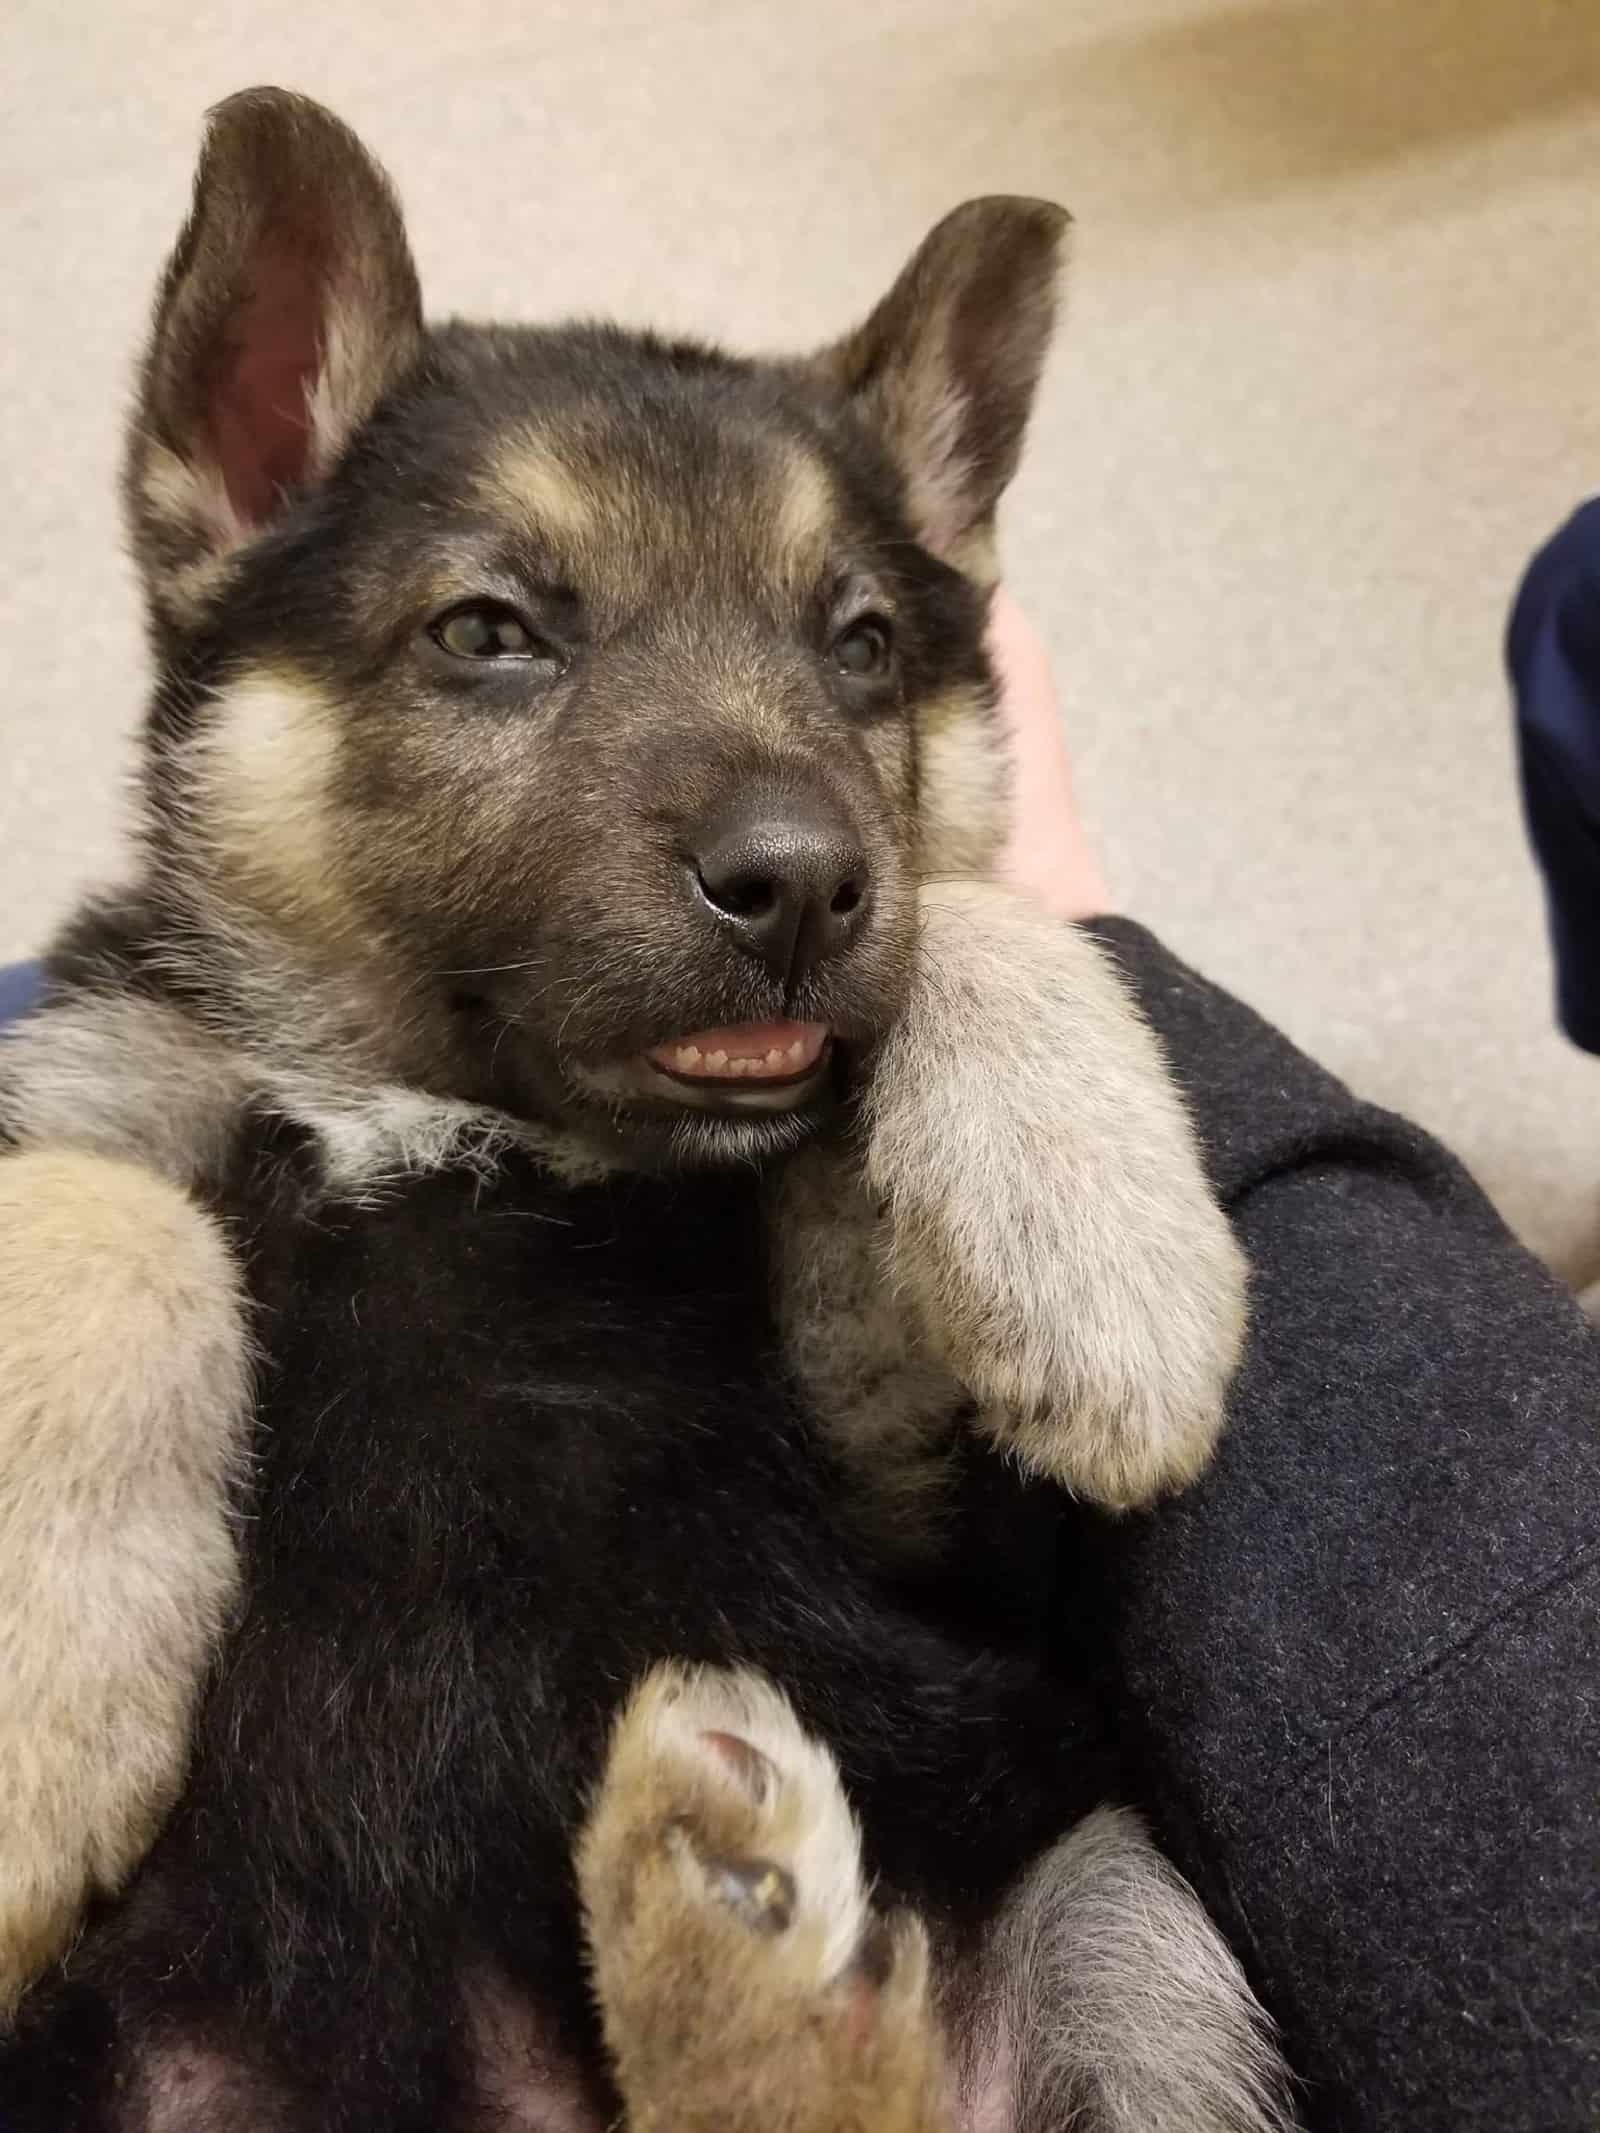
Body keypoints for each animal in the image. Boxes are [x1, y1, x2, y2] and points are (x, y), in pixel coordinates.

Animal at [0, 91, 1288, 2124]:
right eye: (489, 632)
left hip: (1115, 1915)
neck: (442, 1098)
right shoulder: (95, 1076)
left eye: (862, 647)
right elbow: (103, 1214)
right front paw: (48, 1709)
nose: (805, 887)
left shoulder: (876, 1461)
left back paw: (741, 1954)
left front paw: (1102, 1258)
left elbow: (967, 923)